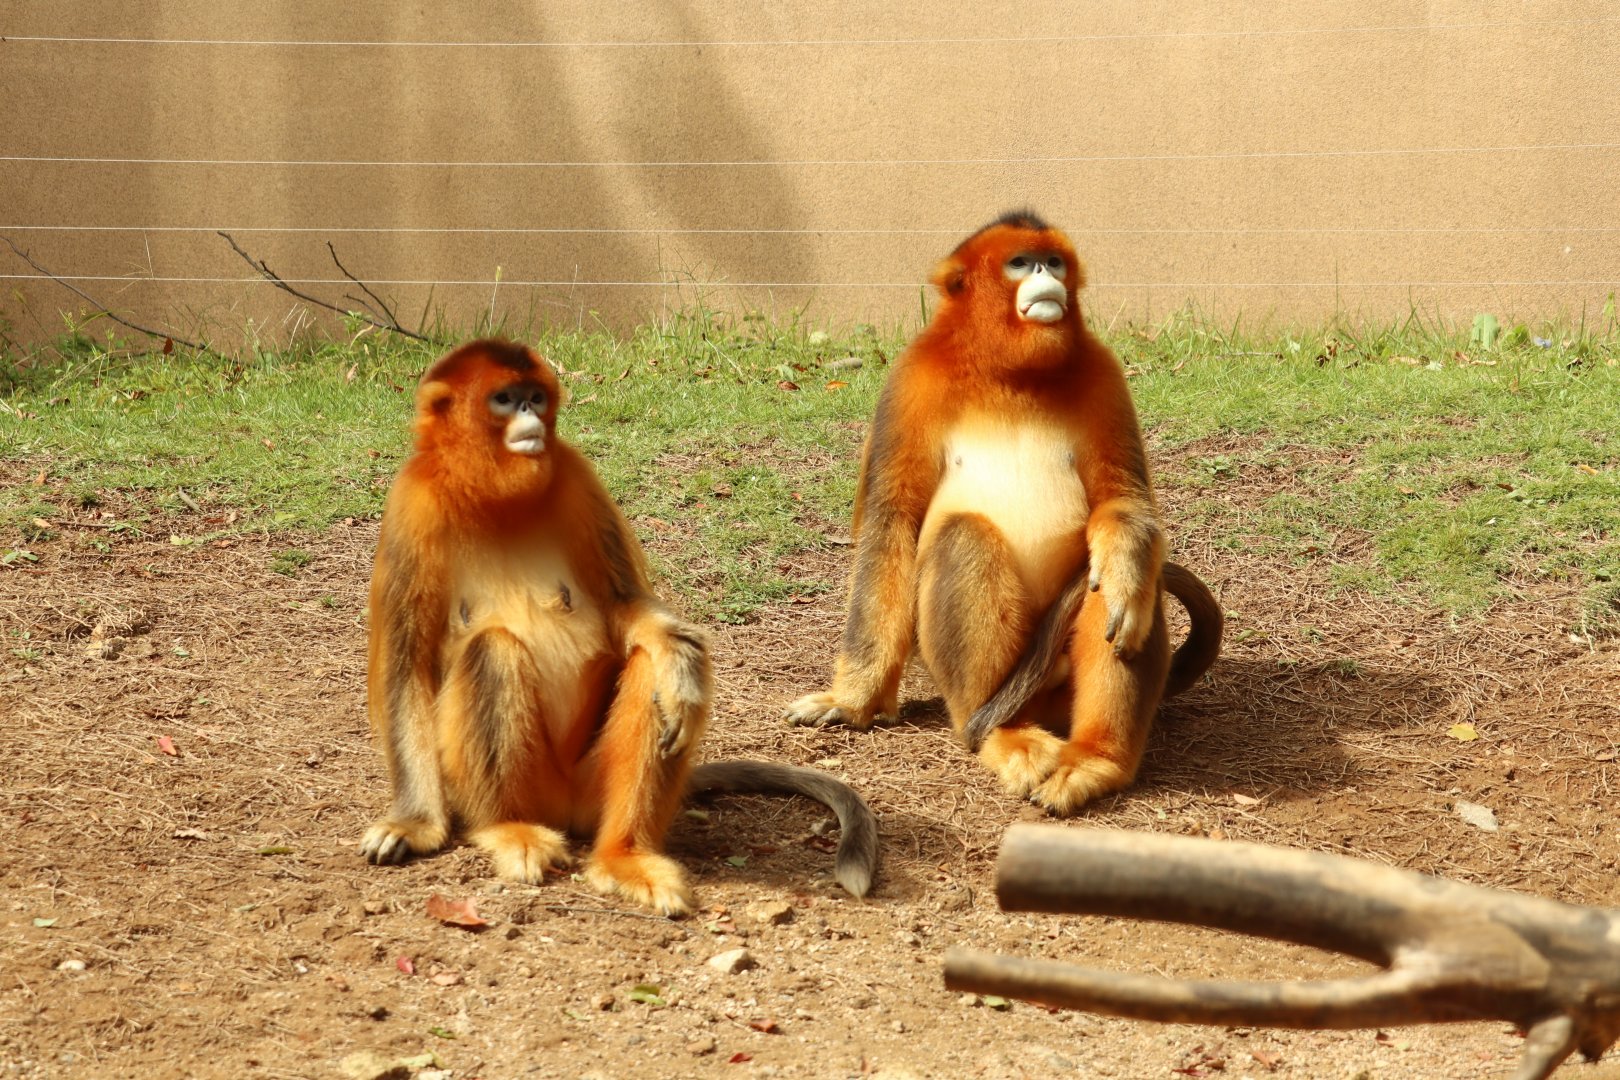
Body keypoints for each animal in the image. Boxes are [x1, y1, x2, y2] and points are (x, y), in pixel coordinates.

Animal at [361, 339, 877, 916]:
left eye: (535, 397)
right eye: (504, 399)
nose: (529, 417)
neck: (496, 496)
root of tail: (560, 807)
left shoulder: (575, 476)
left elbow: (625, 609)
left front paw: (679, 659)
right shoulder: (411, 505)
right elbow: (406, 670)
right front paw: (416, 824)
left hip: (589, 788)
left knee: (649, 671)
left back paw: (623, 854)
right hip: (520, 783)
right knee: (492, 649)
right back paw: (510, 828)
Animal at [784, 211, 1222, 813]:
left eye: (1053, 261)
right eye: (1021, 262)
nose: (1045, 276)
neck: (1009, 370)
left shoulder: (1104, 371)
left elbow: (1125, 504)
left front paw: (1125, 570)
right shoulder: (910, 377)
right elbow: (891, 523)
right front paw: (853, 701)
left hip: (1059, 683)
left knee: (1124, 584)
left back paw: (1095, 759)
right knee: (962, 537)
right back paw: (1002, 731)